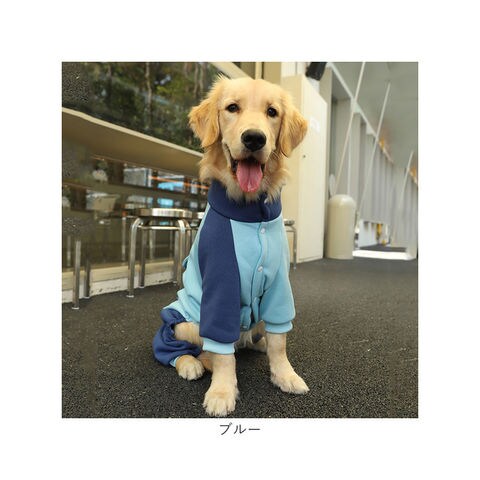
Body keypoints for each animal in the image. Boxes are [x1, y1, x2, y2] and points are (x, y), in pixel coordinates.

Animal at [152, 76, 309, 417]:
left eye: (272, 112)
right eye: (232, 108)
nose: (254, 139)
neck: (251, 213)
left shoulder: (280, 283)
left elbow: (280, 341)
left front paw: (285, 375)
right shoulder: (222, 285)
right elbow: (224, 355)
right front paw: (222, 391)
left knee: (253, 338)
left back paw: (257, 343)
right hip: (185, 322)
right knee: (180, 349)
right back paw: (192, 364)